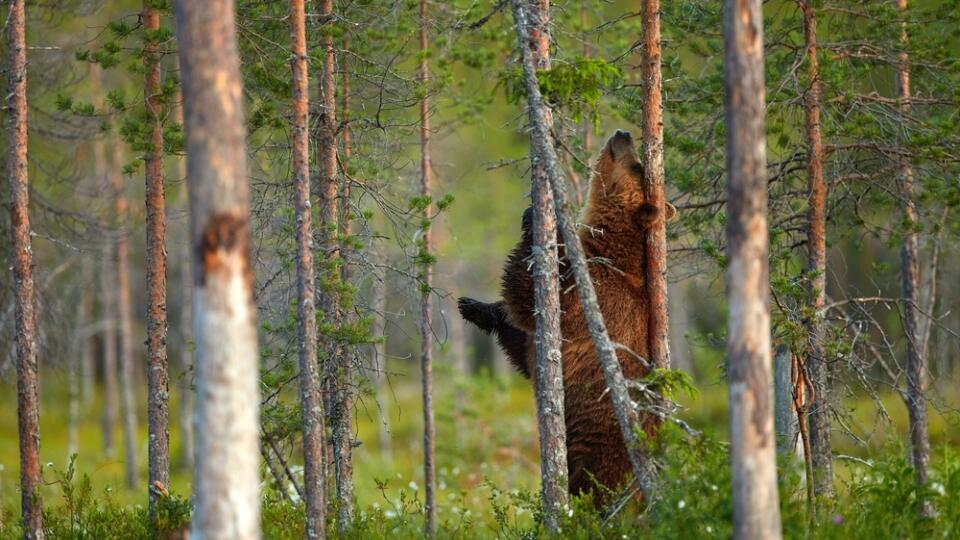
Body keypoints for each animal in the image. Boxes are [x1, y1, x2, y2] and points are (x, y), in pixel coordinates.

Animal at [460, 131, 676, 502]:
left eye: (636, 165)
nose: (623, 134)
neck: (609, 249)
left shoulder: (591, 296)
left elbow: (530, 299)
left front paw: (534, 219)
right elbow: (522, 342)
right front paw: (472, 306)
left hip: (601, 455)